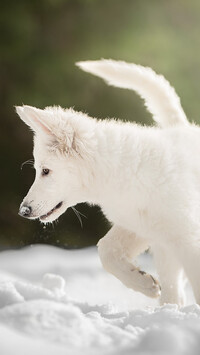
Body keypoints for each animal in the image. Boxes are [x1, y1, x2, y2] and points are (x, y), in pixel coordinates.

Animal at [16, 60, 200, 306]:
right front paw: (144, 283)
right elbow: (106, 250)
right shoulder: (140, 226)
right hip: (164, 246)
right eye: (39, 170)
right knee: (173, 288)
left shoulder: (187, 235)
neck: (126, 173)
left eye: (45, 171)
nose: (23, 211)